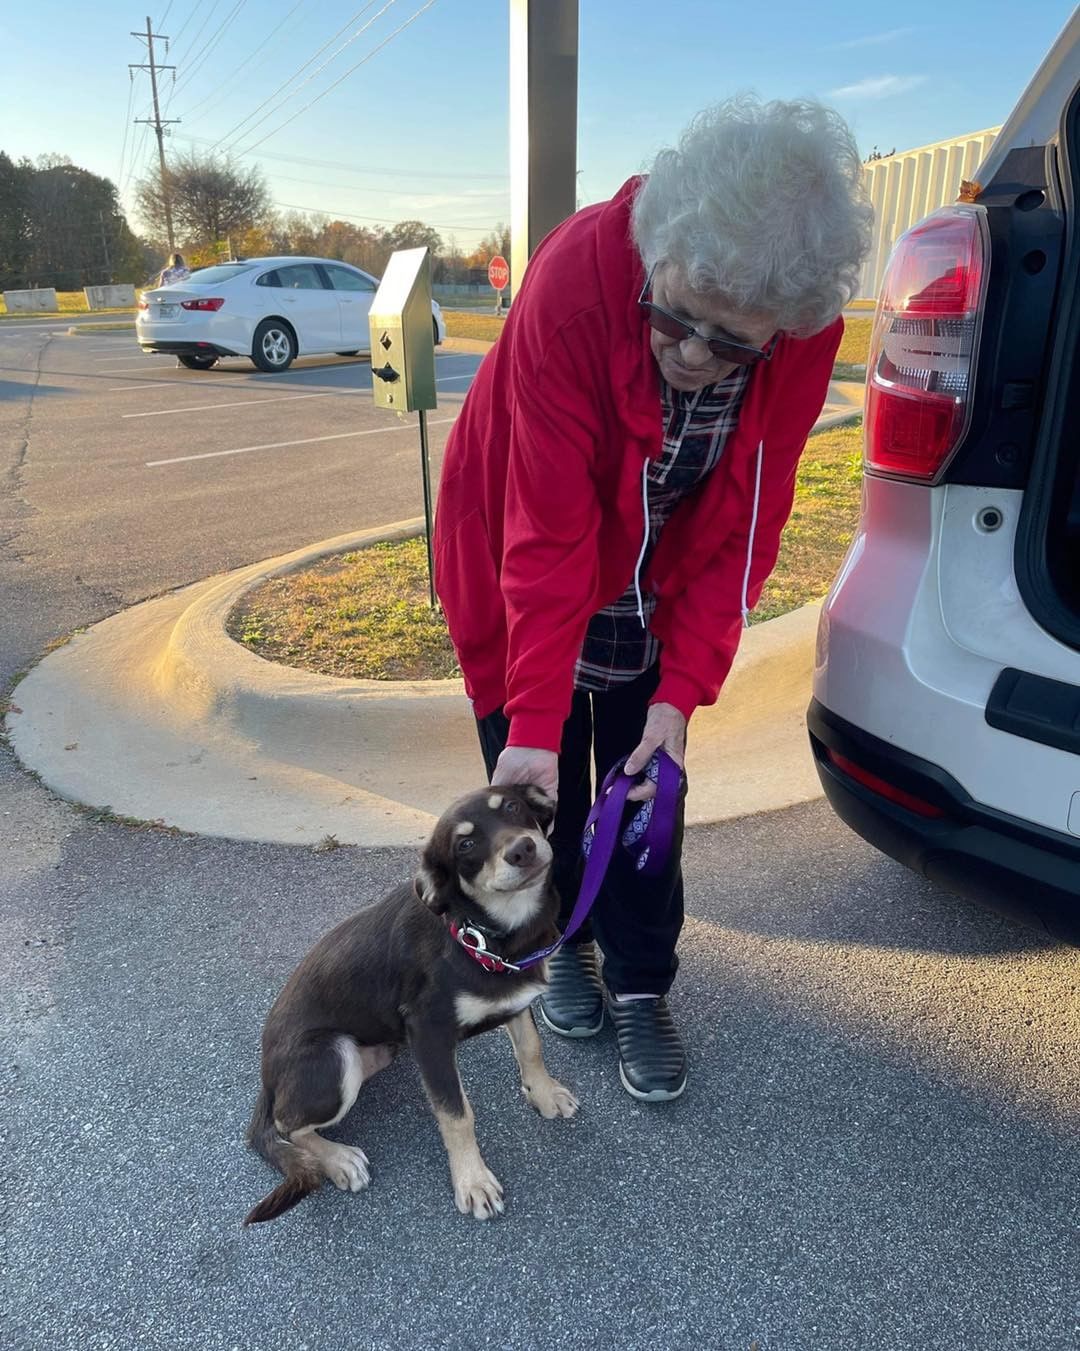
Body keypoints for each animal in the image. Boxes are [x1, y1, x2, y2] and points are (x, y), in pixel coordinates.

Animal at [246, 783, 578, 1226]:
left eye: (512, 806)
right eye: (465, 844)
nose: (522, 849)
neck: (478, 934)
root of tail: (266, 1078)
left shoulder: (515, 996)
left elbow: (530, 1047)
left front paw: (544, 1093)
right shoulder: (429, 1033)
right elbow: (457, 1114)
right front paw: (472, 1181)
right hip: (333, 1056)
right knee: (286, 1125)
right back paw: (337, 1159)